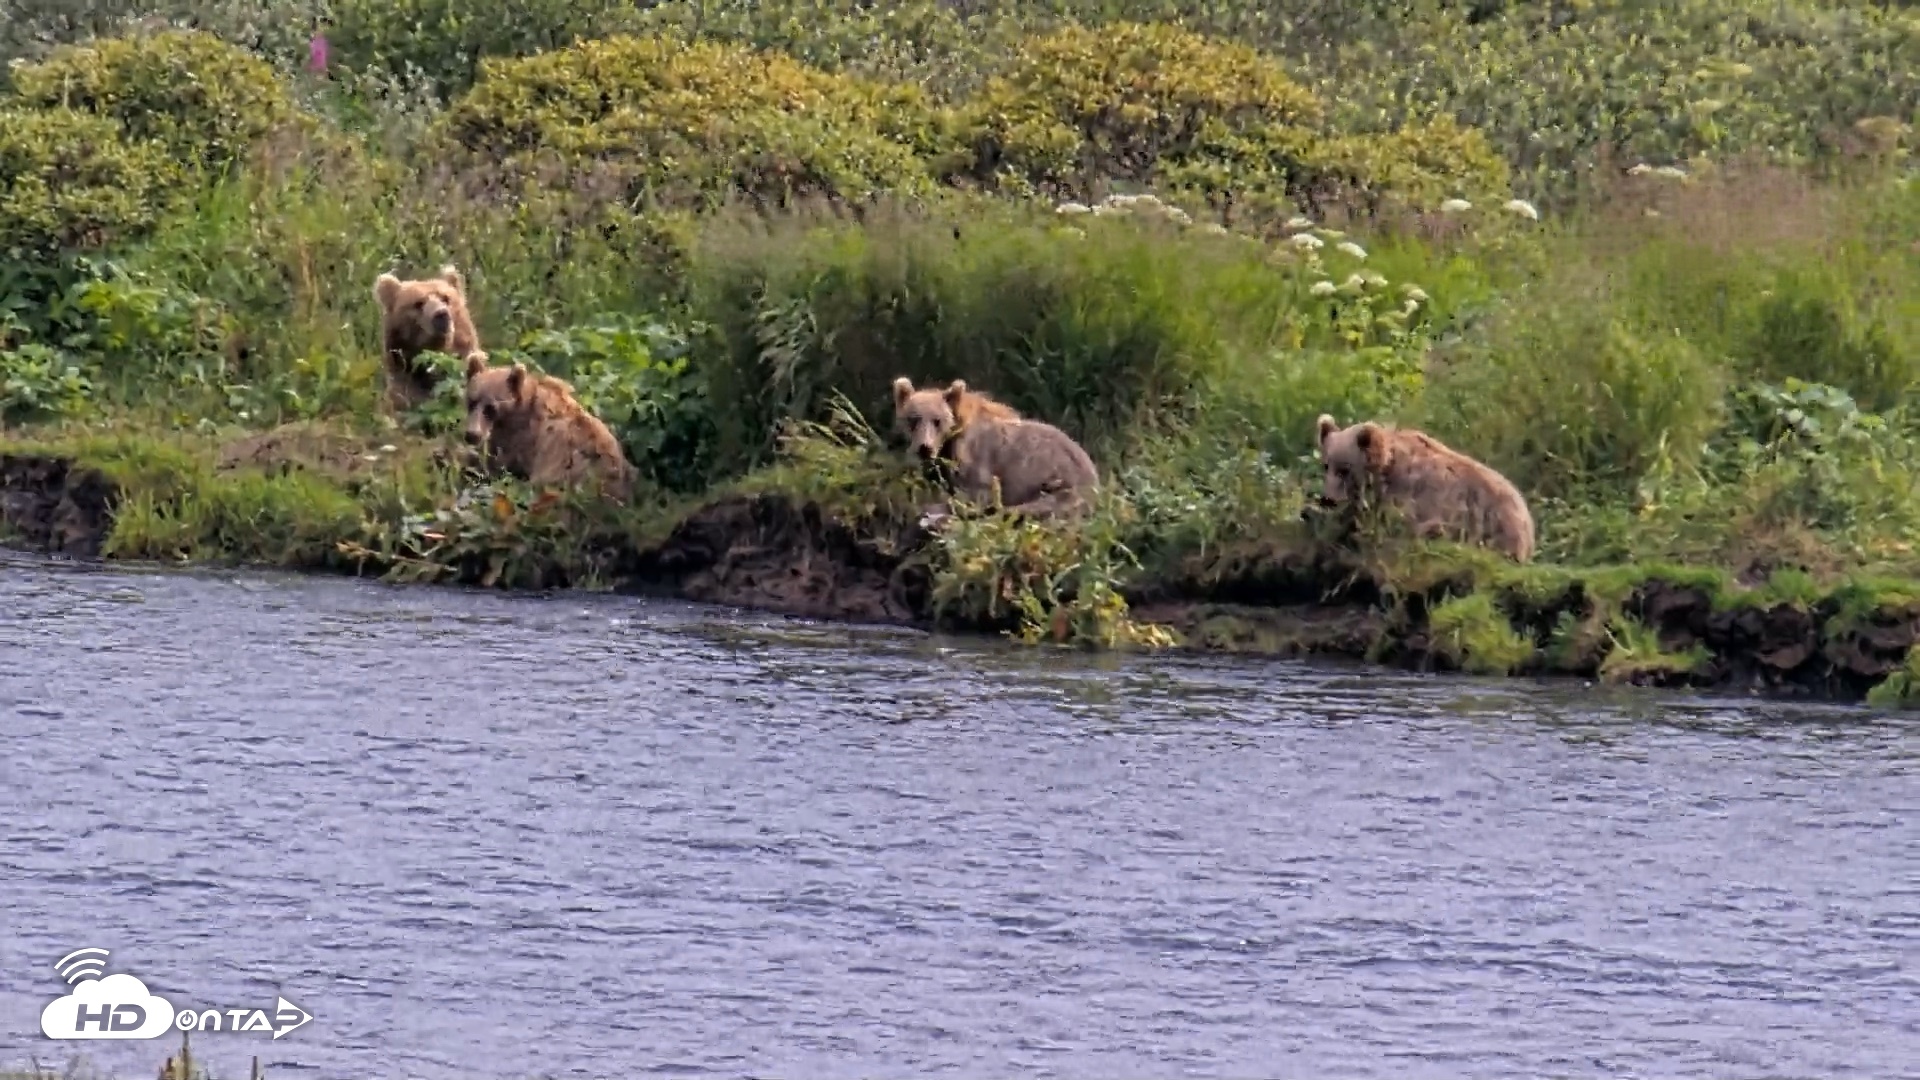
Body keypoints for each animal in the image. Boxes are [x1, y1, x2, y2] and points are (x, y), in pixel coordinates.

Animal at [891, 376, 1099, 522]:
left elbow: (977, 494)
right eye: (912, 419)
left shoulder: (977, 459)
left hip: (1061, 481)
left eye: (937, 421)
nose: (924, 448)